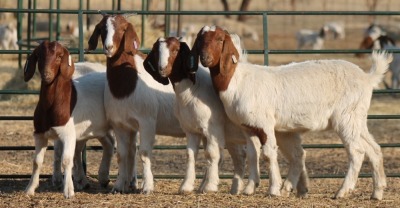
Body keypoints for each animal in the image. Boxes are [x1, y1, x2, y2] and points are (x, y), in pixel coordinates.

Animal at [193, 25, 390, 200]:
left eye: (220, 39)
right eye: (201, 39)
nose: (204, 58)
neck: (237, 80)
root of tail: (367, 78)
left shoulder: (265, 124)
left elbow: (268, 154)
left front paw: (273, 190)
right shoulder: (248, 127)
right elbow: (253, 154)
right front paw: (249, 189)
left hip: (345, 117)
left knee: (357, 151)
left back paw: (342, 191)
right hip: (357, 118)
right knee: (374, 149)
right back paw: (377, 193)